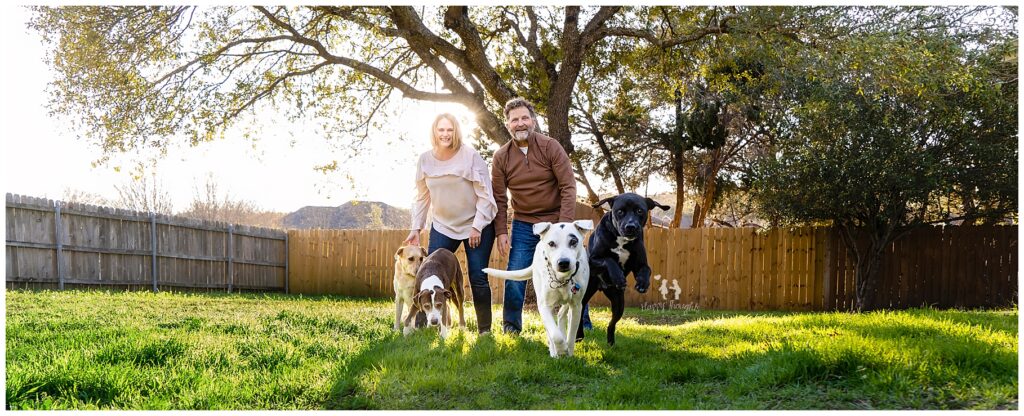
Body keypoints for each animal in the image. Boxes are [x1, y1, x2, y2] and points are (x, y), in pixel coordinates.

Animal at [485, 221, 598, 356]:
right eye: (551, 243)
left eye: (573, 241)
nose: (563, 262)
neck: (562, 279)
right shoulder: (544, 306)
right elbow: (555, 335)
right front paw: (560, 350)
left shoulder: (576, 306)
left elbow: (571, 335)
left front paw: (569, 353)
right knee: (552, 330)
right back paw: (554, 351)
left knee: (561, 314)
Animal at [577, 191, 671, 344]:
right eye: (620, 211)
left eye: (639, 211)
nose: (630, 226)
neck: (621, 239)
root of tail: (602, 287)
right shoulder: (593, 259)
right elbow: (609, 260)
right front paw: (618, 277)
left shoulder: (640, 264)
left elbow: (646, 269)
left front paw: (642, 283)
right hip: (583, 295)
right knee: (579, 314)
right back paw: (578, 335)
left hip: (618, 303)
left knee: (612, 323)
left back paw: (611, 342)